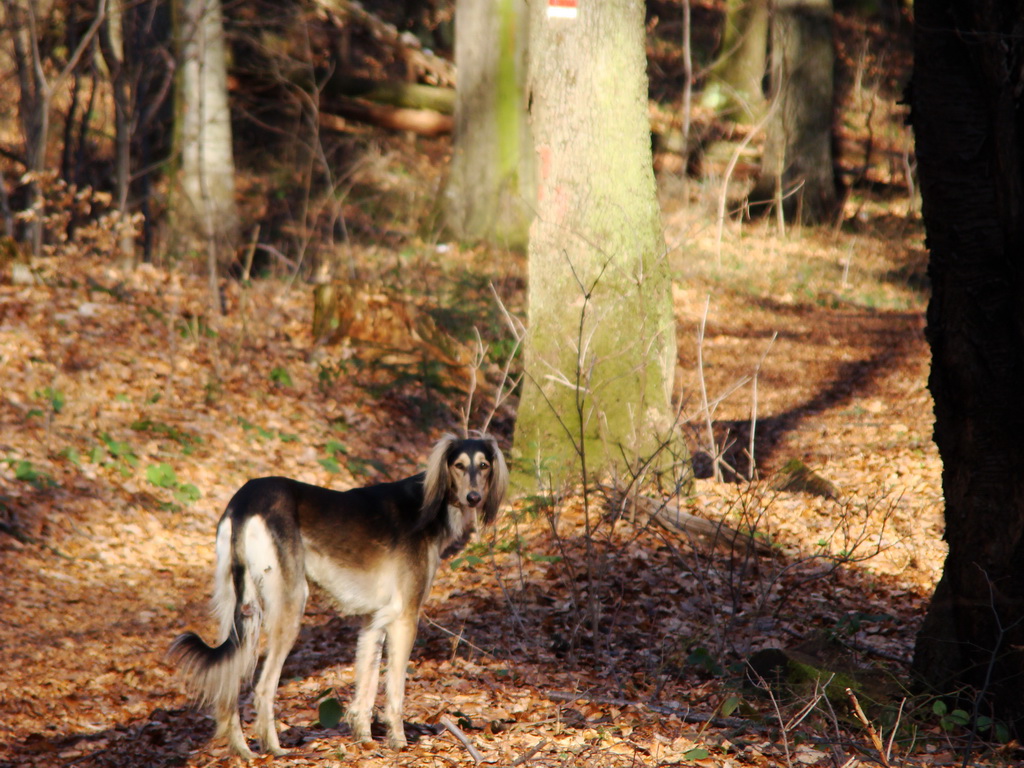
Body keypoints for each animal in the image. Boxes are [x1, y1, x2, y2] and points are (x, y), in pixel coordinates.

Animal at [171, 436, 507, 761]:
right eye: (459, 466)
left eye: (484, 465)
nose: (474, 497)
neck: (427, 506)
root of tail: (244, 500)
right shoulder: (405, 615)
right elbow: (395, 688)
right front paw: (398, 742)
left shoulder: (374, 619)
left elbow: (366, 685)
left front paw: (365, 739)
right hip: (290, 603)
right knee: (263, 687)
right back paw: (274, 749)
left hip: (240, 607)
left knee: (228, 683)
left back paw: (241, 751)